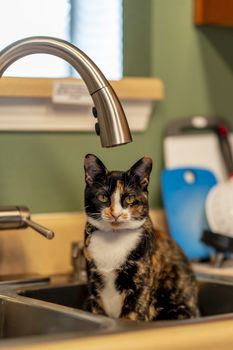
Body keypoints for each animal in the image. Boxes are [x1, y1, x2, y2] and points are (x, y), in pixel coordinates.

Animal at [83, 154, 198, 322]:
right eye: (103, 197)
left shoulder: (139, 286)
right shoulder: (93, 287)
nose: (116, 214)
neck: (113, 236)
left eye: (130, 199)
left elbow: (131, 315)